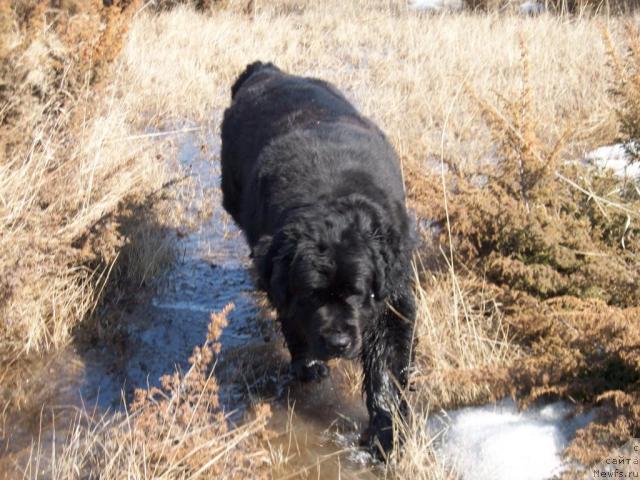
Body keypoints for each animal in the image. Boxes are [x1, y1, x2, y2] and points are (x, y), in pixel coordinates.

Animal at [220, 62, 418, 460]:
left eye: (356, 293)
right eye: (312, 294)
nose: (338, 341)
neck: (331, 199)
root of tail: (265, 71)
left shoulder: (392, 298)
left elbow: (386, 371)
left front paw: (385, 434)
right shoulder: (281, 276)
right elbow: (292, 317)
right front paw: (307, 363)